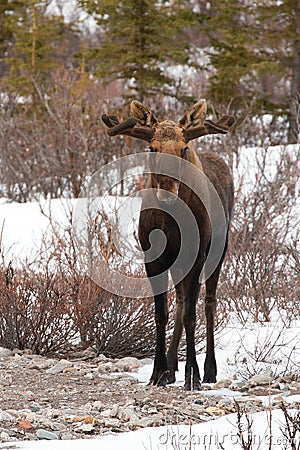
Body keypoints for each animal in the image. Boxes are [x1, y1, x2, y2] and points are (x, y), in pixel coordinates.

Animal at [102, 101, 236, 390]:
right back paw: (172, 367)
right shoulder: (153, 259)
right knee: (182, 299)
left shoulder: (197, 255)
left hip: (218, 251)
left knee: (208, 303)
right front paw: (158, 371)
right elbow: (162, 313)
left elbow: (191, 315)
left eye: (183, 148)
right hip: (178, 263)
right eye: (152, 148)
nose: (167, 192)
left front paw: (192, 375)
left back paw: (209, 370)